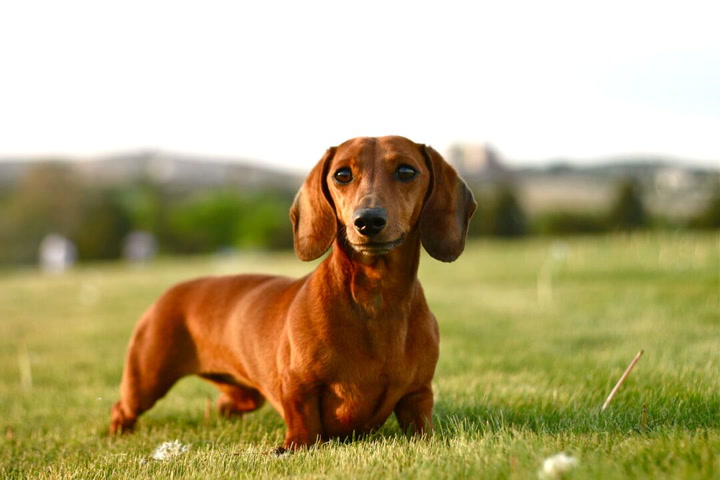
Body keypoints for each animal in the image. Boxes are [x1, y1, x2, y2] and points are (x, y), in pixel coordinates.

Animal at [109, 136, 476, 450]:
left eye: (406, 171)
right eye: (342, 174)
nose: (368, 221)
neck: (374, 300)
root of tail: (173, 290)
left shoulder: (417, 395)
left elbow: (422, 428)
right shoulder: (297, 388)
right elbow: (303, 426)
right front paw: (292, 447)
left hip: (244, 394)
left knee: (229, 402)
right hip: (145, 381)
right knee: (122, 407)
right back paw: (118, 433)